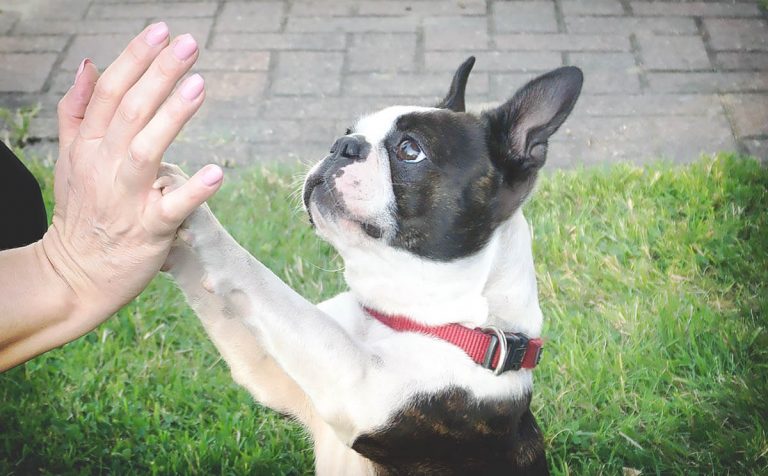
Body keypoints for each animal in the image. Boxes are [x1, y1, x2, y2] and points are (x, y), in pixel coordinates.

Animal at [158, 57, 584, 474]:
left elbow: (263, 282)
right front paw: (168, 209)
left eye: (410, 150)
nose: (343, 144)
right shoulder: (268, 368)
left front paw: (199, 220)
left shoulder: (359, 385)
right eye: (349, 131)